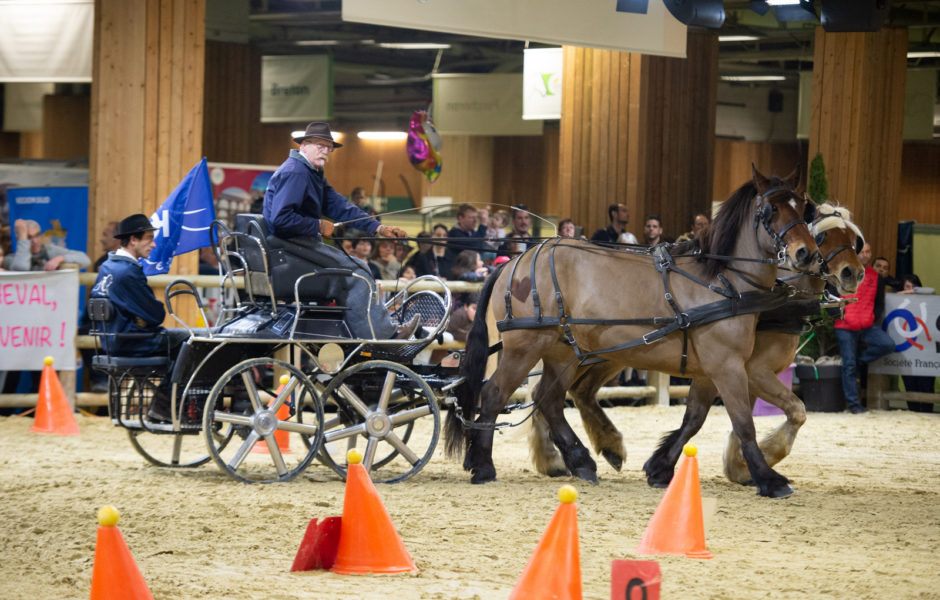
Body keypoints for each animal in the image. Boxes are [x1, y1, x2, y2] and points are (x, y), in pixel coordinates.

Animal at [444, 166, 820, 500]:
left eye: (804, 206)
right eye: (771, 209)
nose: (807, 253)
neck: (722, 281)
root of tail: (512, 262)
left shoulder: (710, 369)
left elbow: (694, 419)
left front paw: (660, 468)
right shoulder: (728, 366)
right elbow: (743, 424)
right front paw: (768, 478)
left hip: (563, 352)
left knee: (548, 400)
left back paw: (582, 461)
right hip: (525, 347)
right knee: (495, 394)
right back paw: (484, 465)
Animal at [528, 202, 860, 496]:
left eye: (855, 239)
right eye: (822, 237)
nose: (853, 273)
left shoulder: (719, 371)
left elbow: (699, 419)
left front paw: (666, 466)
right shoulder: (747, 370)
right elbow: (792, 411)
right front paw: (760, 462)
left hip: (608, 354)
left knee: (571, 393)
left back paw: (593, 449)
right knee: (549, 394)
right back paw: (564, 456)